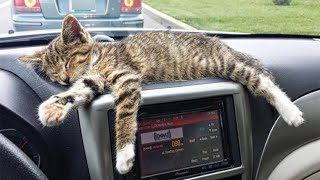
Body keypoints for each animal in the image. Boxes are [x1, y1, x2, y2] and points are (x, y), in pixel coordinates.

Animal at [18, 15, 304, 174]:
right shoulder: (93, 79)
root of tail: (221, 43)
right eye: (54, 75)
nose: (64, 79)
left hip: (223, 64)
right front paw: (53, 106)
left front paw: (124, 155)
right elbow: (80, 90)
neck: (99, 57)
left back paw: (290, 112)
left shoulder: (127, 77)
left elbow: (124, 116)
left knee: (261, 80)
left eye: (68, 62)